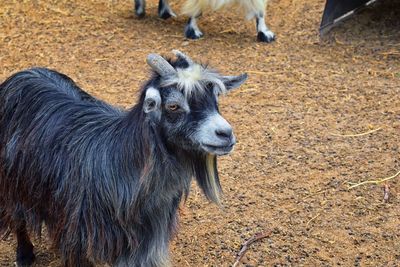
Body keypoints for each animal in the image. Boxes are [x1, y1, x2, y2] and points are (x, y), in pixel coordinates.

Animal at [0, 50, 247, 267]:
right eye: (174, 105)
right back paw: (24, 255)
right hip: (13, 183)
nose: (225, 134)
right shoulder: (78, 237)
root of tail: (22, 74)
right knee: (17, 217)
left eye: (215, 99)